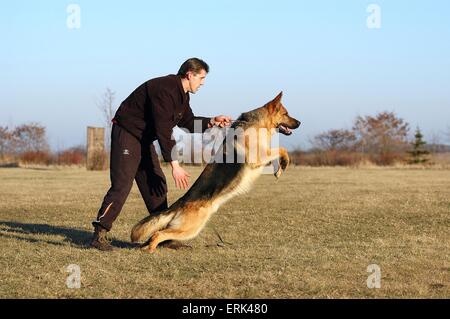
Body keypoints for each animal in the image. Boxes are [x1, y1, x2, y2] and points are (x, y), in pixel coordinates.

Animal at [129, 92, 298, 252]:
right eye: (286, 113)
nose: (300, 123)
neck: (257, 124)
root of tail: (181, 202)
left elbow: (280, 151)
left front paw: (279, 170)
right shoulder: (258, 157)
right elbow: (282, 150)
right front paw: (283, 166)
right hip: (190, 229)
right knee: (159, 233)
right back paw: (151, 249)